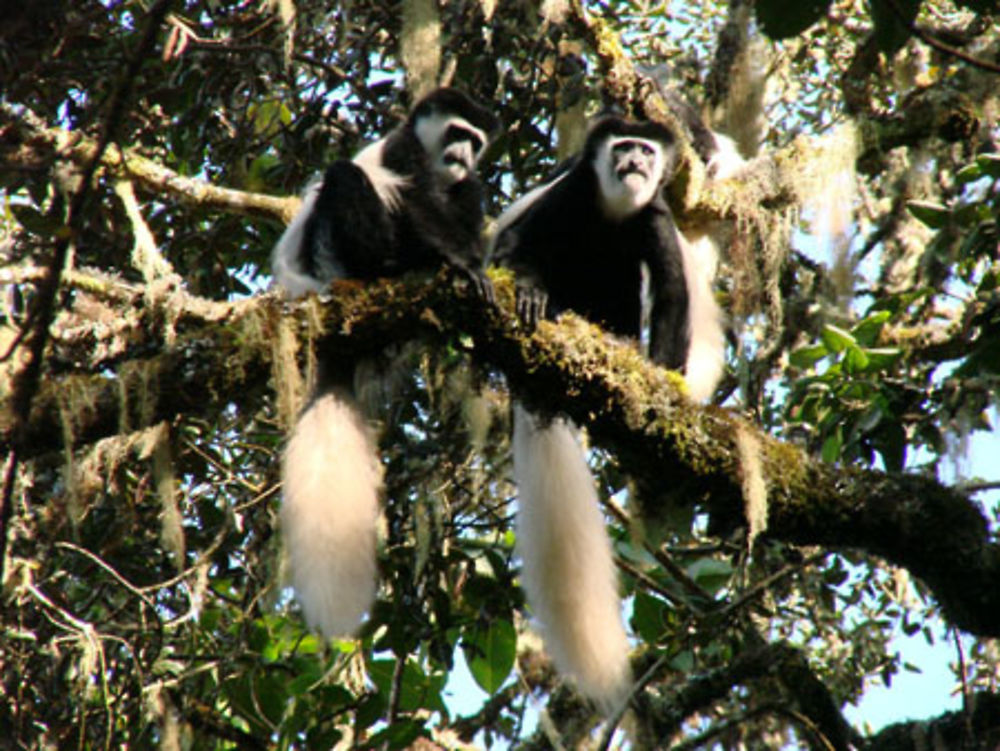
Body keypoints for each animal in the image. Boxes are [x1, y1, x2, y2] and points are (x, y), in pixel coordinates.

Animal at [272, 88, 498, 640]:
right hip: (330, 252)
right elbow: (413, 201)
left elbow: (467, 201)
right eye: (456, 132)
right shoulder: (403, 153)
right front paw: (462, 264)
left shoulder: (468, 185)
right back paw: (393, 264)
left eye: (476, 141)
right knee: (345, 177)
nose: (463, 155)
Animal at [492, 113, 744, 712]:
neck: (612, 207)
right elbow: (513, 246)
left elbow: (674, 296)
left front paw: (664, 395)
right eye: (623, 148)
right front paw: (528, 294)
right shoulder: (571, 196)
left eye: (646, 151)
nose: (634, 161)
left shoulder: (652, 218)